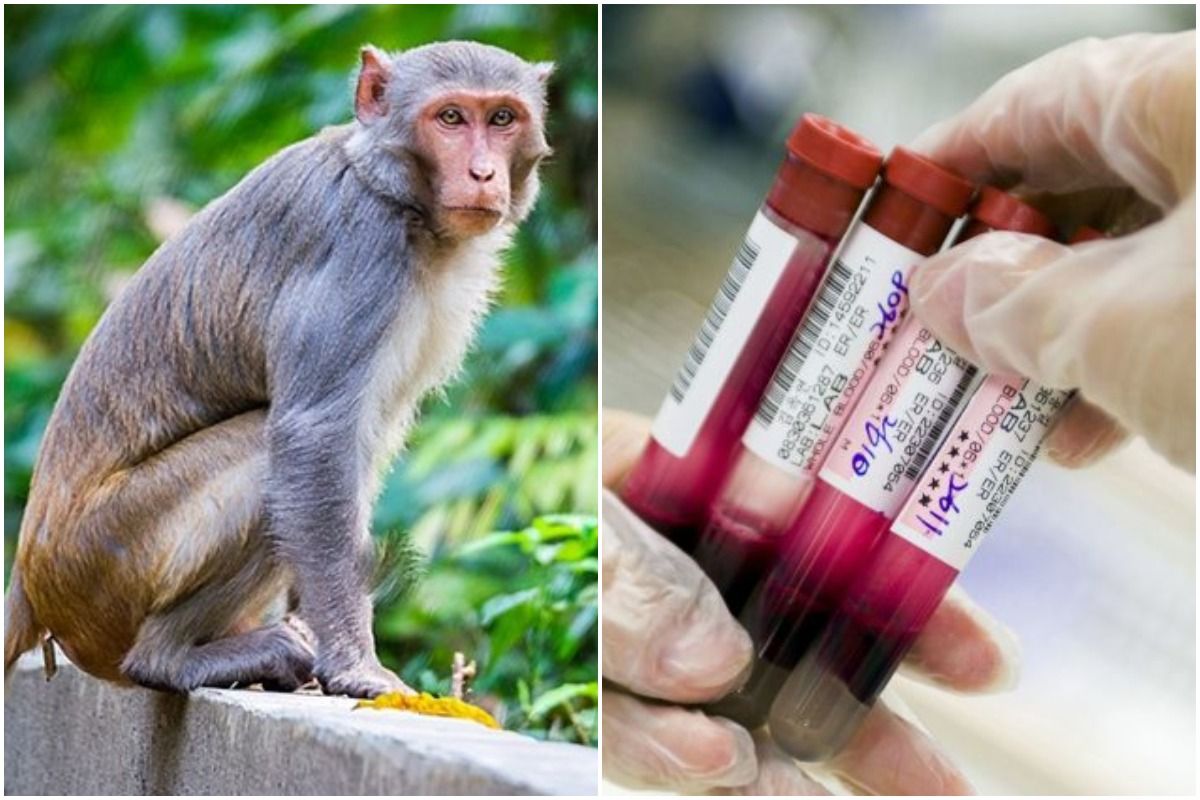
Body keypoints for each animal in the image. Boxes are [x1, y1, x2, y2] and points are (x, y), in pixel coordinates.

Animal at [3, 41, 553, 699]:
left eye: (502, 119)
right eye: (450, 118)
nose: (483, 174)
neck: (395, 195)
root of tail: (31, 579)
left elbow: (361, 444)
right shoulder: (361, 250)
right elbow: (315, 436)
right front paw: (354, 663)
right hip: (108, 563)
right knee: (262, 451)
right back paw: (170, 659)